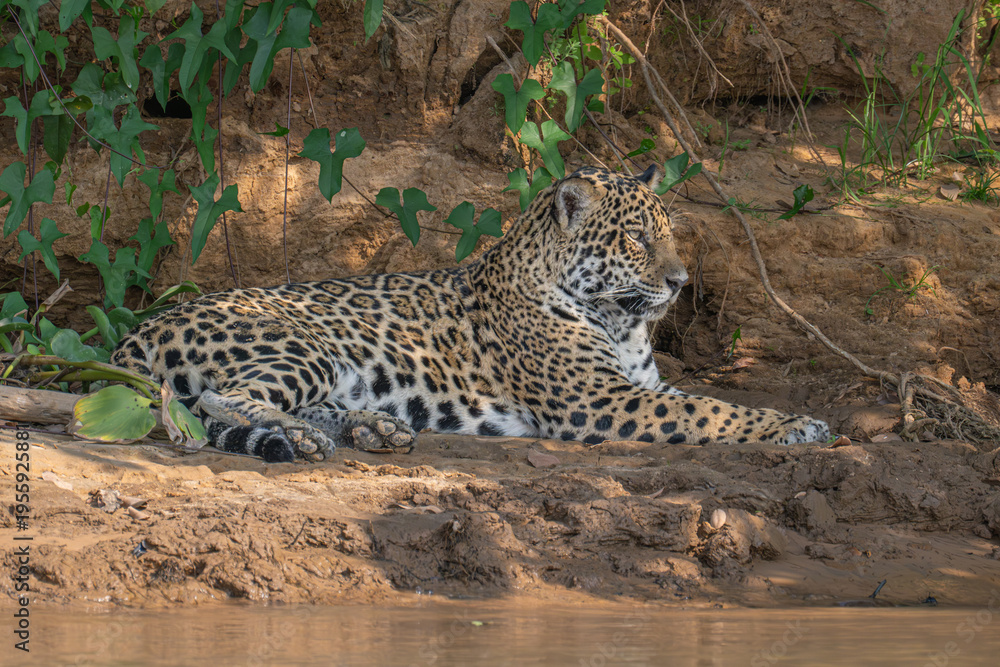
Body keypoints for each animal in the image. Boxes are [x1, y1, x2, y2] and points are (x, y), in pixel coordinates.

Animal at [111, 165, 830, 463]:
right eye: (634, 239)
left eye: (669, 235)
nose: (680, 282)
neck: (617, 317)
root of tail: (137, 330)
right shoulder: (599, 400)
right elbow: (714, 411)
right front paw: (797, 425)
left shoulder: (639, 385)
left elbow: (711, 399)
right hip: (300, 343)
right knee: (224, 399)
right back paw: (312, 437)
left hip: (334, 366)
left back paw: (377, 429)